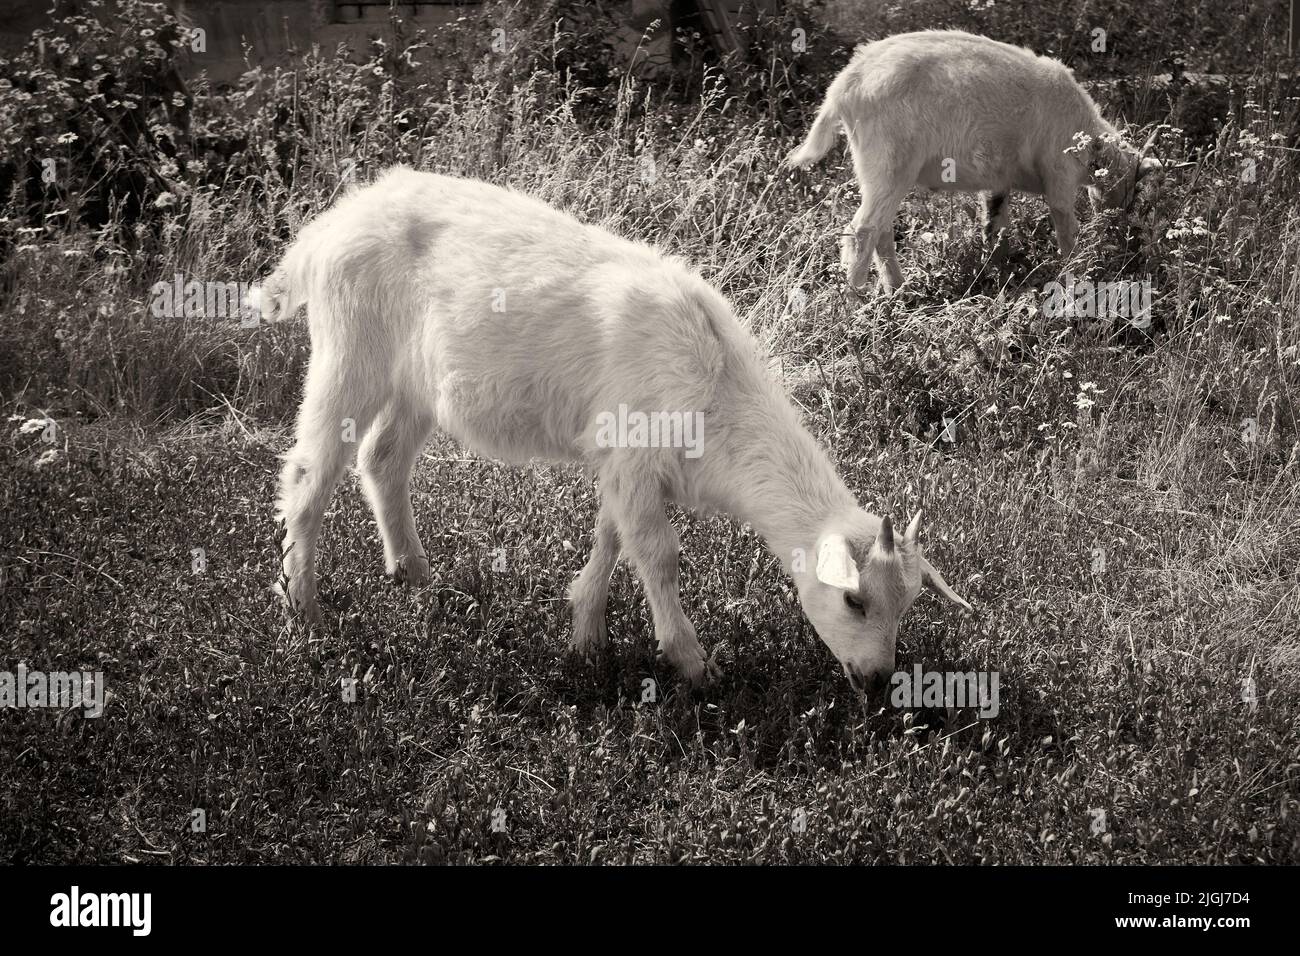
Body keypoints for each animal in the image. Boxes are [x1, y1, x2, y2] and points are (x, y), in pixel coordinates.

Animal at [264, 167, 972, 688]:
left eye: (908, 604)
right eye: (855, 601)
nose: (875, 680)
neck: (717, 390)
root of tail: (327, 227)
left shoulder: (625, 463)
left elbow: (613, 536)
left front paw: (585, 635)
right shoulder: (634, 450)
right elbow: (657, 554)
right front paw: (694, 665)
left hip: (415, 384)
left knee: (382, 458)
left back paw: (413, 578)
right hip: (349, 351)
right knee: (308, 474)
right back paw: (305, 610)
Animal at [788, 30, 1162, 291]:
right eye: (1134, 188)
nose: (1124, 231)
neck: (1089, 138)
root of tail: (843, 86)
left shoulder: (998, 182)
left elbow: (994, 224)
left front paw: (996, 270)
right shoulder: (1059, 173)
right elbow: (1066, 229)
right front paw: (1075, 272)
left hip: (882, 171)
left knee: (881, 230)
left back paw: (898, 291)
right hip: (889, 163)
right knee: (862, 231)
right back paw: (856, 303)